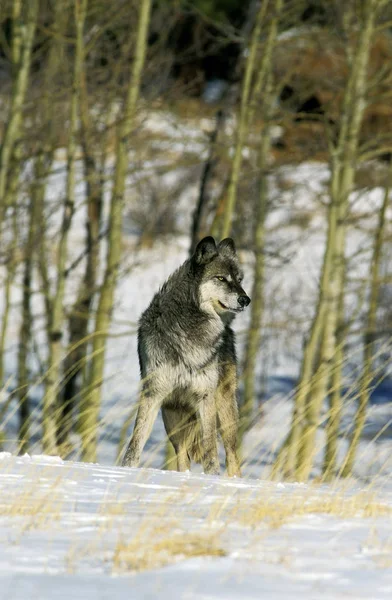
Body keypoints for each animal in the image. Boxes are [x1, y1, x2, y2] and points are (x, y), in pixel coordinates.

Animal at [122, 237, 251, 476]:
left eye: (239, 280)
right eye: (221, 278)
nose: (245, 299)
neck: (190, 328)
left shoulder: (205, 396)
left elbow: (210, 450)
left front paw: (213, 477)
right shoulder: (153, 393)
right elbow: (136, 442)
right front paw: (126, 470)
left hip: (225, 411)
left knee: (231, 455)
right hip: (172, 418)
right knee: (182, 455)